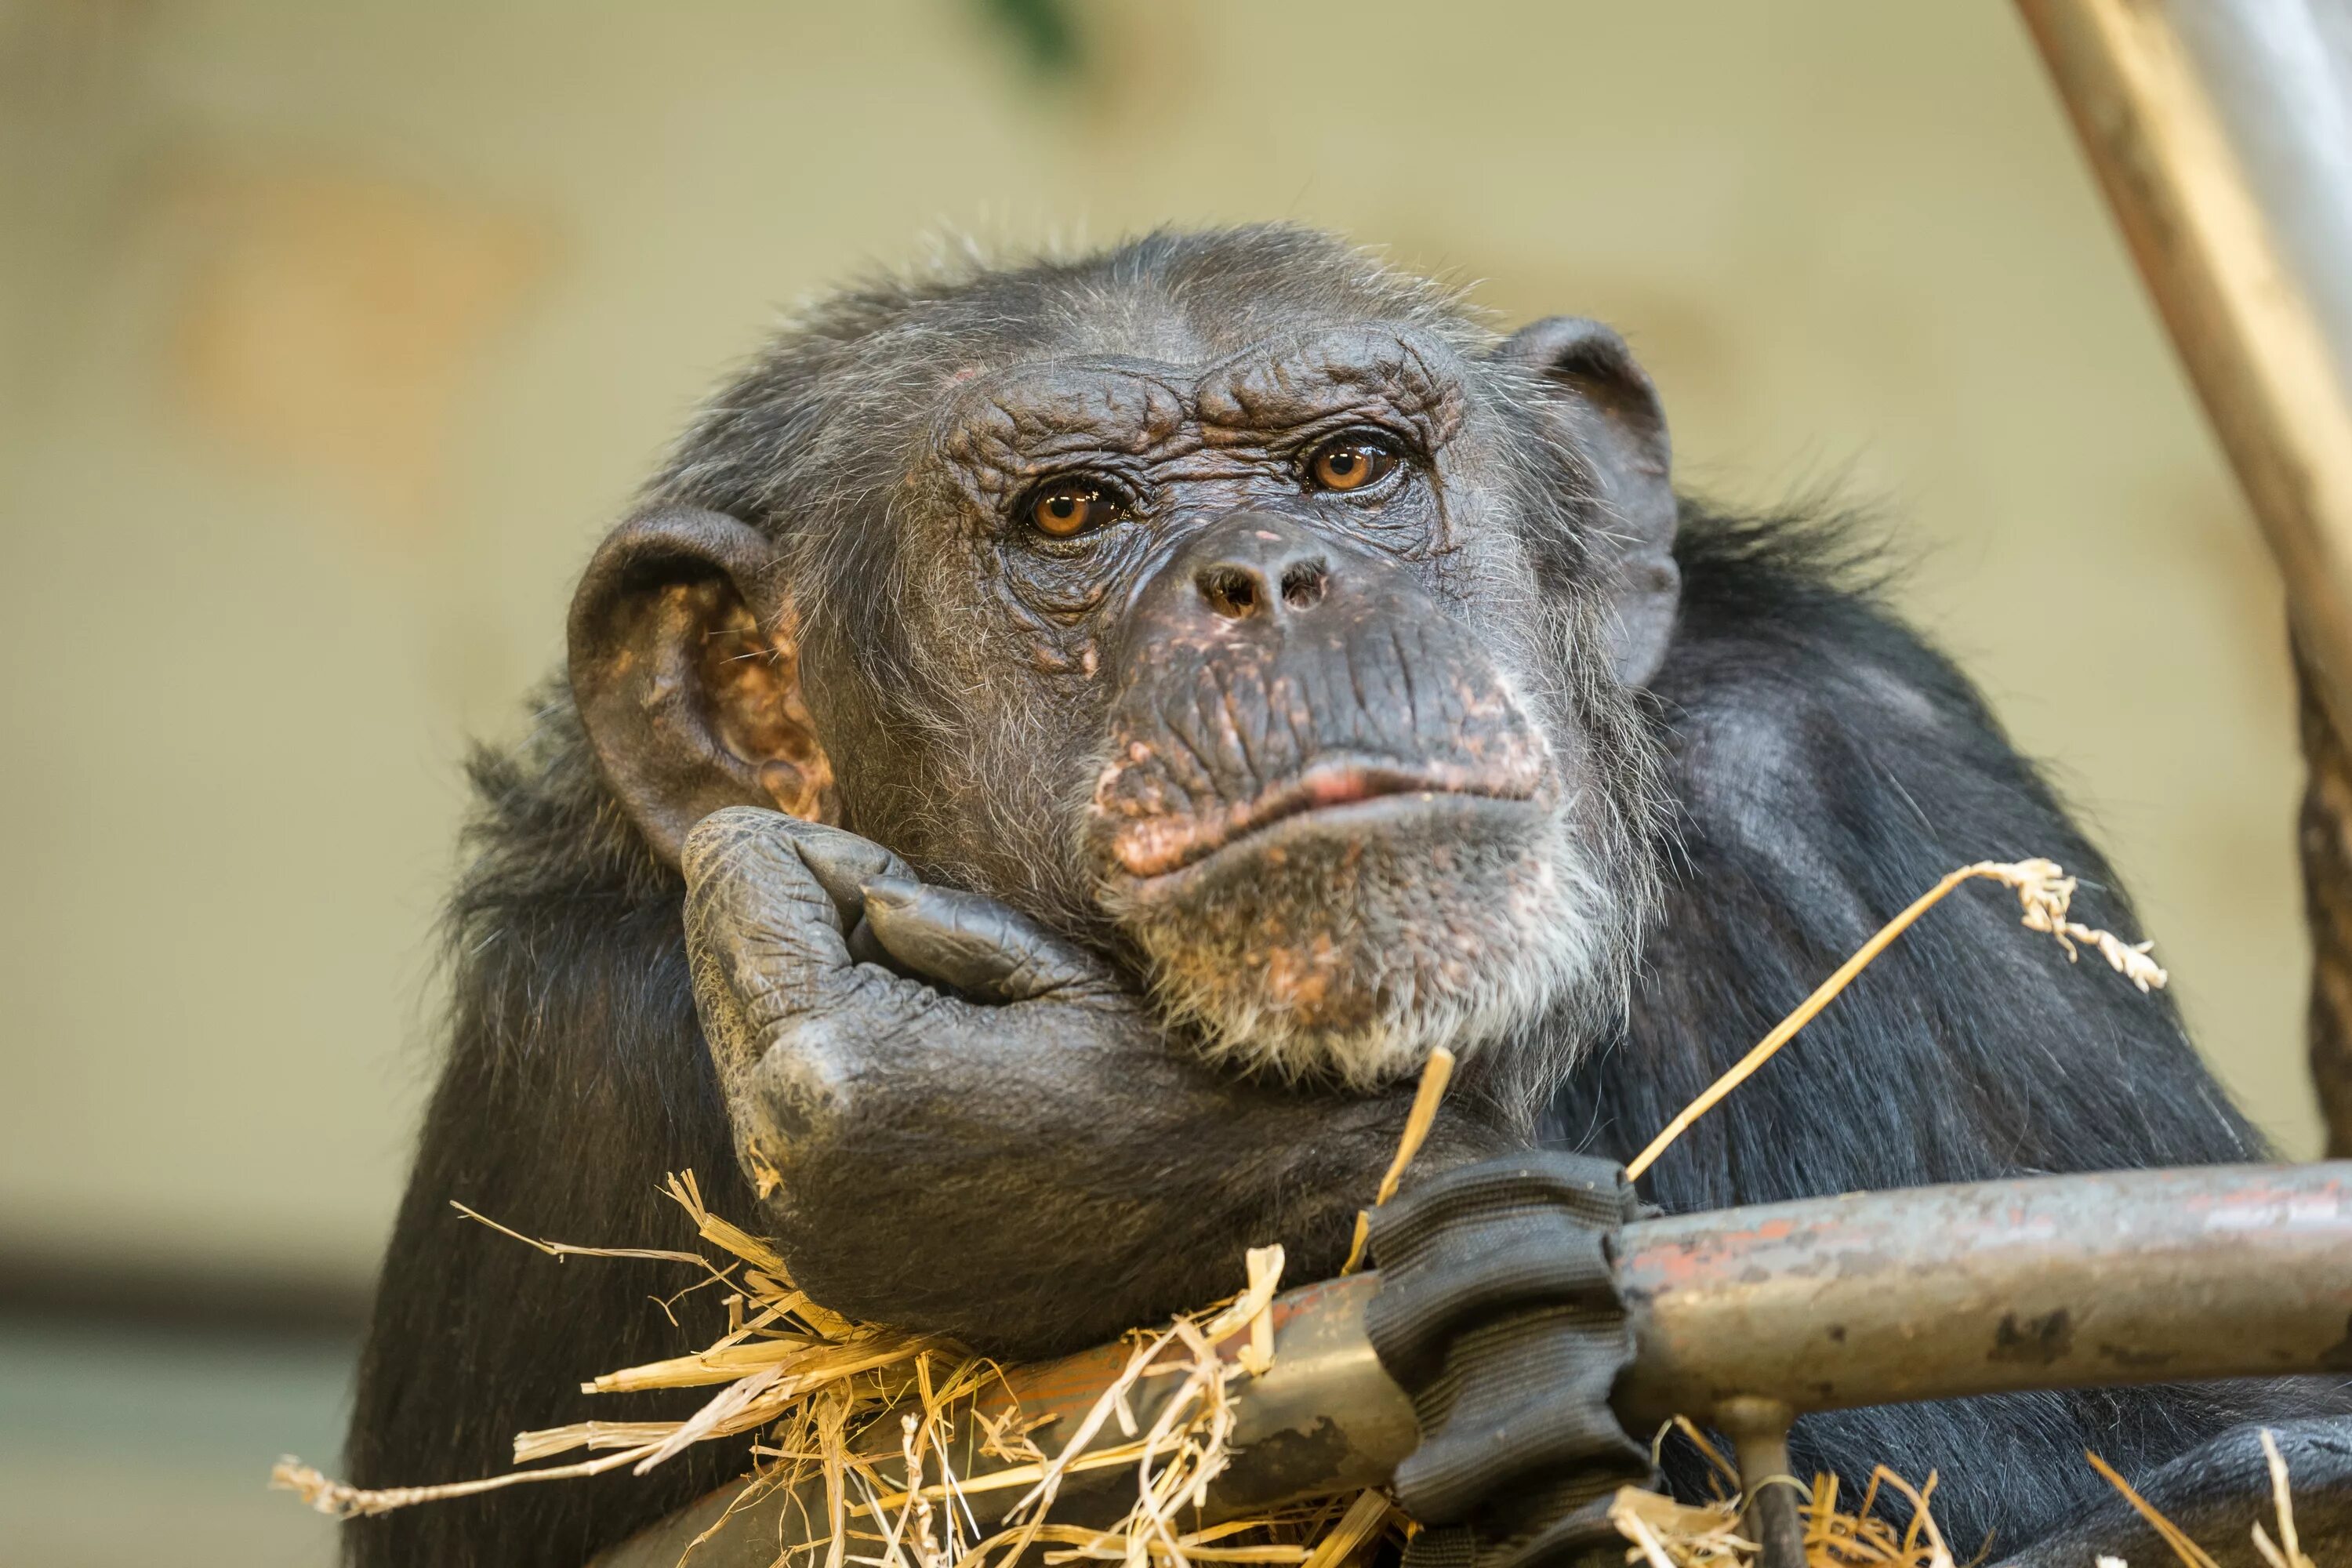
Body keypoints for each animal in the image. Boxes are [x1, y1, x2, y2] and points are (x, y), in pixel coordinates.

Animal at [341, 230, 2343, 1568]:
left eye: (1350, 467)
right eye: (1069, 514)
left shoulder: (1871, 776)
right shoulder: (569, 1067)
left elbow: (2224, 1442)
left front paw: (1023, 1140)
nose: (1272, 576)